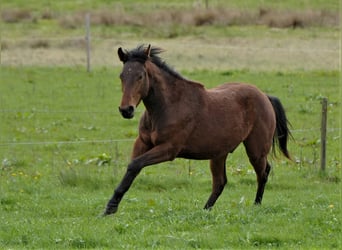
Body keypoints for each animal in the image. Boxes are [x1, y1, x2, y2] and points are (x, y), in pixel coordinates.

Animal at [103, 44, 290, 215]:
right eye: (122, 76)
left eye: (140, 76)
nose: (126, 110)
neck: (167, 106)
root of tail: (264, 96)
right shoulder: (142, 143)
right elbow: (131, 168)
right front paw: (109, 208)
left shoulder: (169, 149)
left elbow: (135, 165)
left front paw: (111, 207)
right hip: (219, 154)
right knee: (220, 182)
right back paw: (205, 210)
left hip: (255, 150)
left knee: (263, 172)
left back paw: (256, 205)